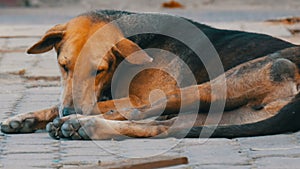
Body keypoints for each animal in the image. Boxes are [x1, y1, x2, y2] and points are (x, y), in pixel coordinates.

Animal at [0, 10, 300, 140]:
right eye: (64, 66)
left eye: (98, 70)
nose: (69, 110)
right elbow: (60, 103)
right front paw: (25, 118)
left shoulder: (136, 96)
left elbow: (107, 104)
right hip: (228, 113)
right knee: (164, 126)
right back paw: (81, 125)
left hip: (224, 82)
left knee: (143, 112)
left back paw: (80, 123)